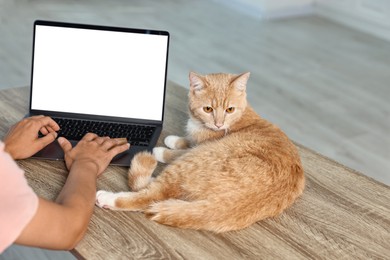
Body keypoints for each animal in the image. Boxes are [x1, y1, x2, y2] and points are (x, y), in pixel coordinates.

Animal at [96, 72, 304, 233]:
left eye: (229, 109)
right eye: (208, 109)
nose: (218, 124)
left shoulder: (197, 147)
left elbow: (178, 150)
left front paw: (162, 149)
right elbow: (186, 140)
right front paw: (174, 139)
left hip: (190, 162)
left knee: (151, 194)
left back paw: (108, 198)